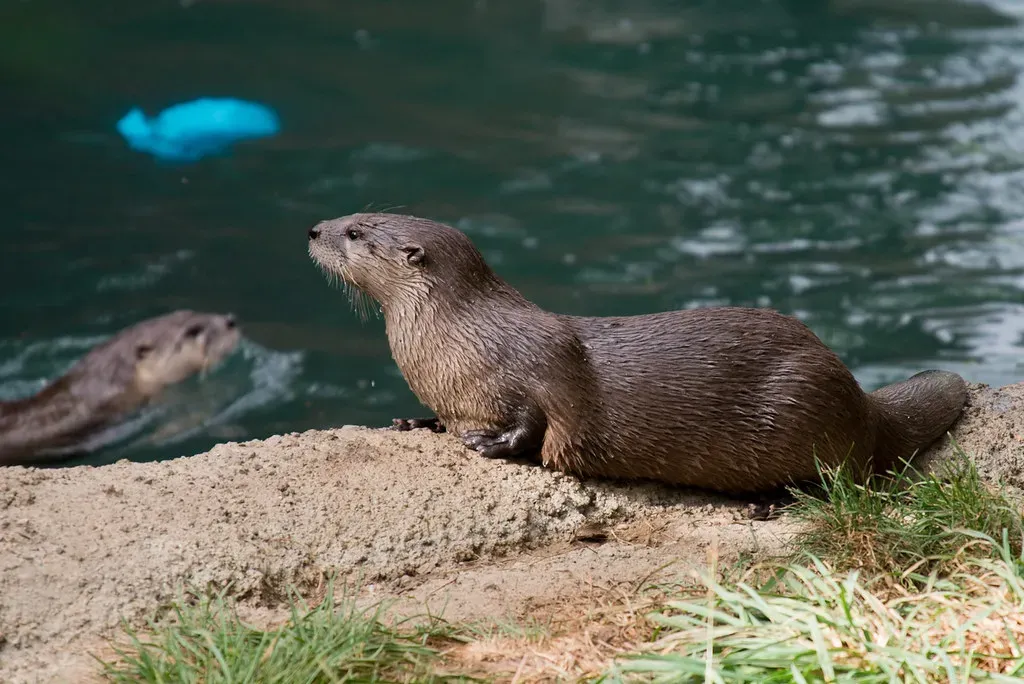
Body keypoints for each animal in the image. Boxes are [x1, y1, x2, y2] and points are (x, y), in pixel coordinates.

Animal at [307, 212, 968, 495]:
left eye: (355, 233)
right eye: (352, 214)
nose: (313, 229)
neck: (454, 339)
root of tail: (861, 401)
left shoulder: (537, 370)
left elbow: (539, 420)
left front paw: (488, 445)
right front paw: (416, 421)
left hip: (803, 401)